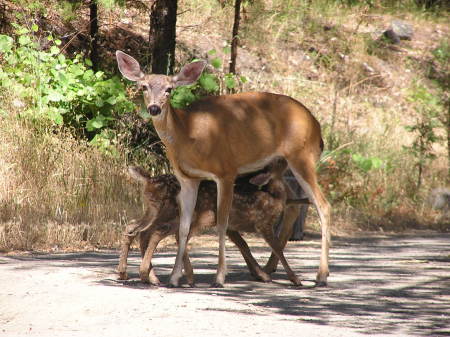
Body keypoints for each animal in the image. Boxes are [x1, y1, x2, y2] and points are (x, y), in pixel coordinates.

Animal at [114, 50, 328, 286]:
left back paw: (321, 275)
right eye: (144, 86)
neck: (190, 134)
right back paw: (273, 269)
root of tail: (316, 125)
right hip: (280, 165)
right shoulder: (188, 179)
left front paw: (219, 276)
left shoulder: (226, 170)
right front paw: (175, 277)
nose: (154, 108)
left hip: (302, 155)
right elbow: (184, 227)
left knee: (323, 206)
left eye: (169, 89)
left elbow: (223, 223)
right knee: (295, 204)